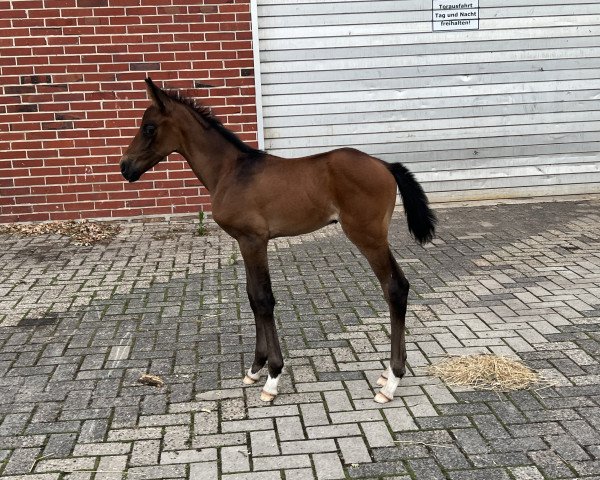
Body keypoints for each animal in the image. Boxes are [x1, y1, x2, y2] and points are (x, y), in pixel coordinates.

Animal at [119, 78, 436, 402]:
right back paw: (388, 372)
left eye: (149, 128)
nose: (124, 167)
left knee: (395, 288)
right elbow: (252, 297)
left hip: (368, 236)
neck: (230, 171)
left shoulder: (254, 241)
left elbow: (263, 299)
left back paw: (391, 381)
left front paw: (272, 376)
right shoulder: (244, 242)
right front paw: (254, 368)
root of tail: (385, 165)